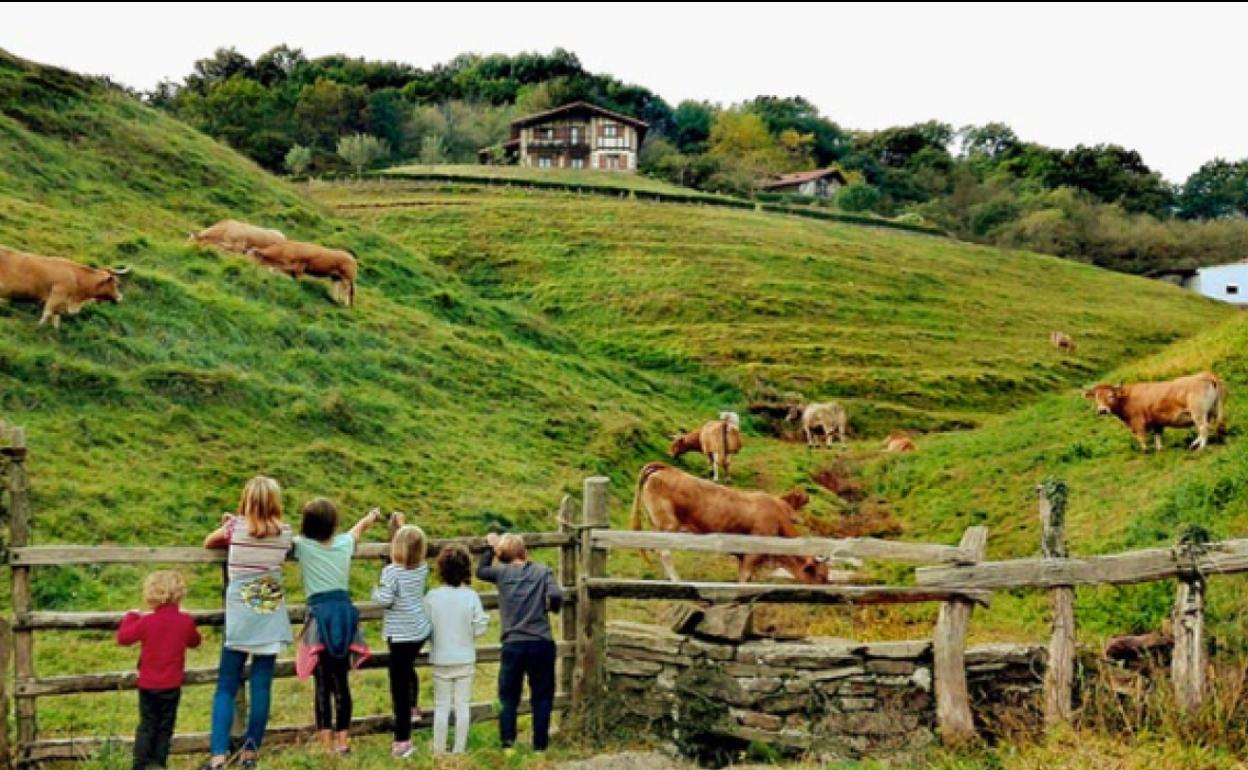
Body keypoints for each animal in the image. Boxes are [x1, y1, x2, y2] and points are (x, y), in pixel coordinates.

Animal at [0, 245, 129, 326]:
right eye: (116, 283)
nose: (120, 297)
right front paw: (38, 327)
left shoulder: (60, 304)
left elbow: (56, 320)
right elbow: (47, 313)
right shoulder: (56, 295)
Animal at [624, 461, 828, 581]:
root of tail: (666, 468)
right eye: (822, 576)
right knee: (664, 552)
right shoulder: (752, 555)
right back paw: (677, 580)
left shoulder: (742, 556)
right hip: (668, 525)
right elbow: (745, 579)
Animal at [1083, 371, 1228, 449]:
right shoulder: (1157, 421)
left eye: (1110, 396)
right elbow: (1158, 436)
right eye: (1096, 397)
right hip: (1214, 410)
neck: (1127, 397)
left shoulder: (1138, 423)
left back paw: (1200, 448)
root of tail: (1206, 374)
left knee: (1203, 427)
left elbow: (1142, 439)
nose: (1102, 410)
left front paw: (1146, 451)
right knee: (1215, 424)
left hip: (1198, 413)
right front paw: (1159, 449)